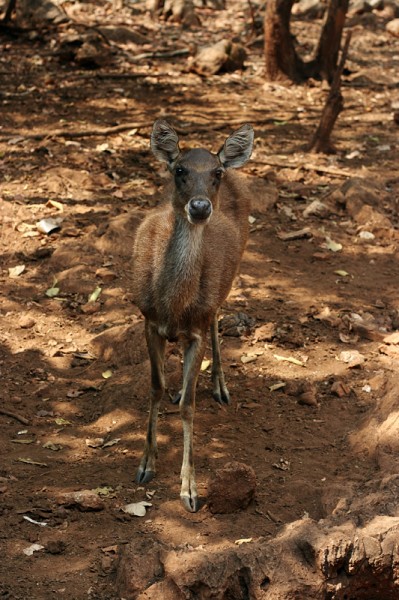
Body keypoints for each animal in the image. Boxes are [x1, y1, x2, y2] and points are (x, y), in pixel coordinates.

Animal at [133, 119, 255, 512]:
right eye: (179, 170)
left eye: (215, 173)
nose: (200, 207)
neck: (173, 305)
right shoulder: (148, 320)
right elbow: (155, 387)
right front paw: (146, 464)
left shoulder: (197, 329)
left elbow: (189, 407)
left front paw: (189, 488)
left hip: (232, 274)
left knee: (217, 317)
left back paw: (219, 385)